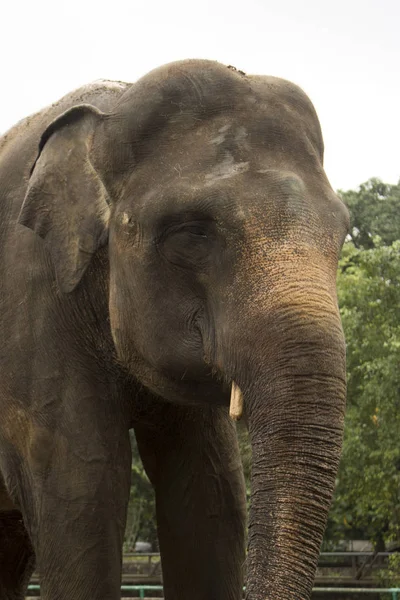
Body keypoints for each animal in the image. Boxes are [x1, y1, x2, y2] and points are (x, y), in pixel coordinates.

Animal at [0, 61, 350, 600]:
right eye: (192, 232)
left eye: (344, 232)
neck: (103, 118)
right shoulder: (31, 312)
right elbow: (82, 490)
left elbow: (213, 494)